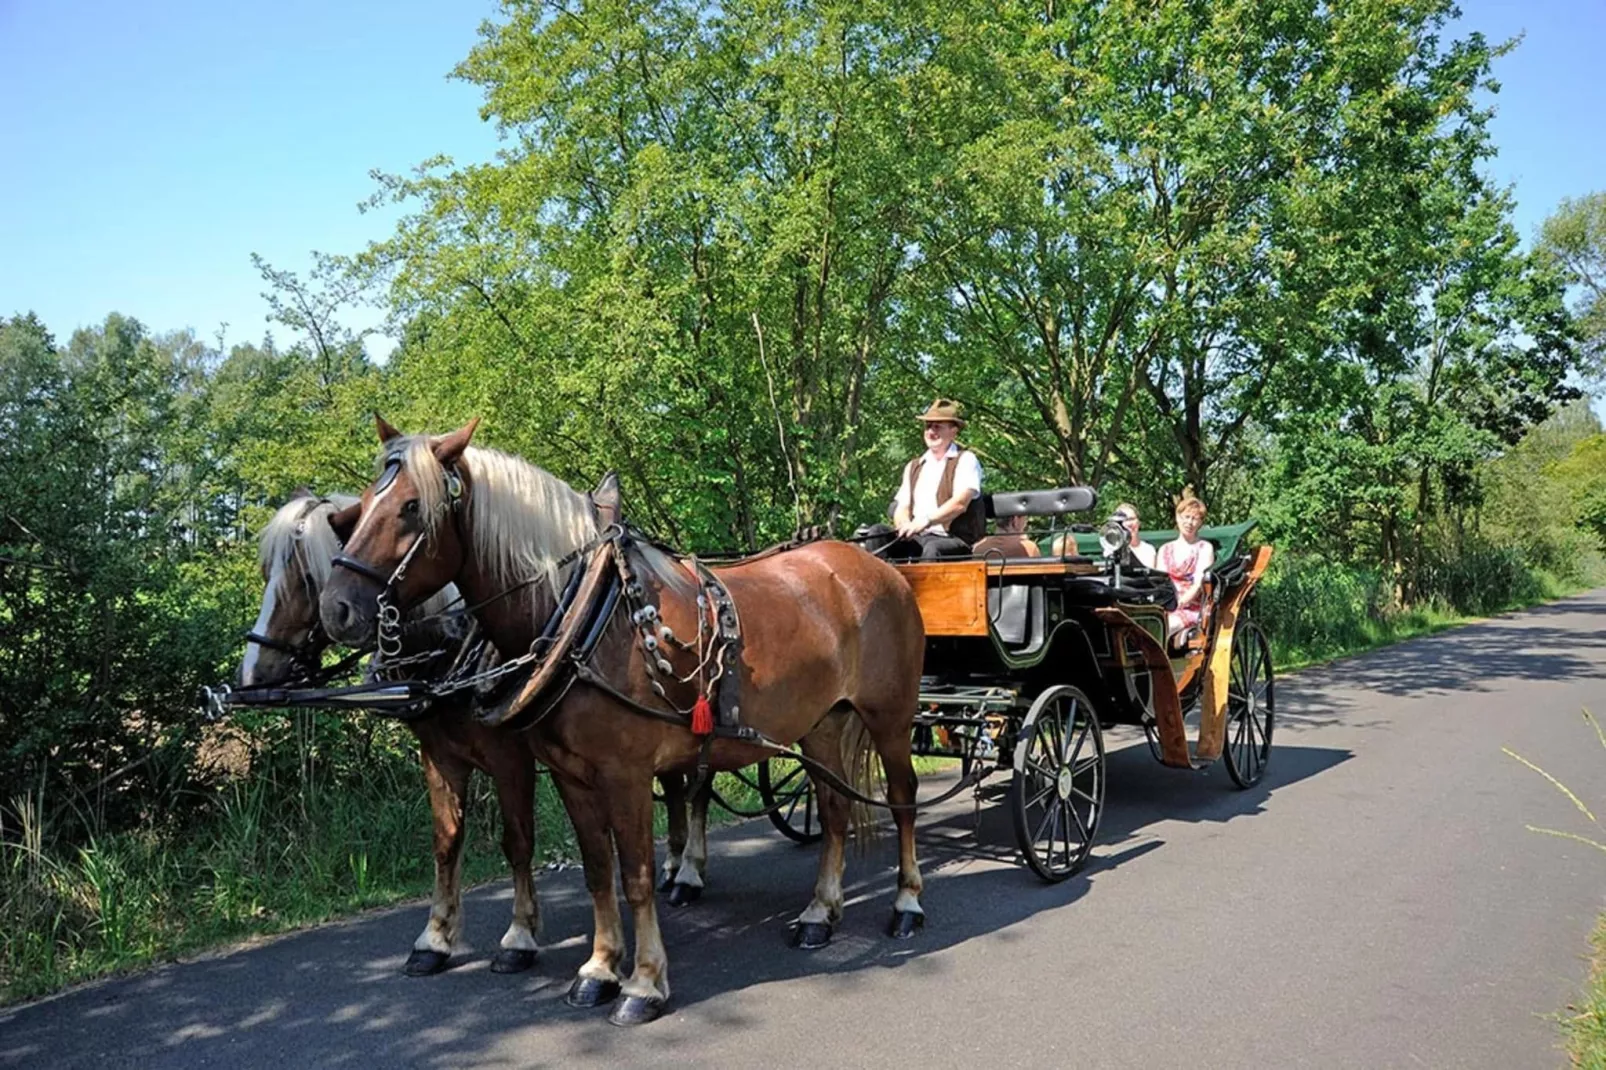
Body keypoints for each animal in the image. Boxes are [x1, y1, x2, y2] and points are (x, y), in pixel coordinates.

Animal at [319, 414, 931, 1015]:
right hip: (824, 723)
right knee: (833, 810)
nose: (336, 607)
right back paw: (819, 913)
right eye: (360, 508)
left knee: (902, 797)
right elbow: (596, 870)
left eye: (410, 507)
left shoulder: (625, 773)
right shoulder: (568, 775)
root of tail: (873, 565)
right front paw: (599, 968)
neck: (585, 614)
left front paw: (644, 981)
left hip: (890, 716)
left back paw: (906, 904)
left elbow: (635, 874)